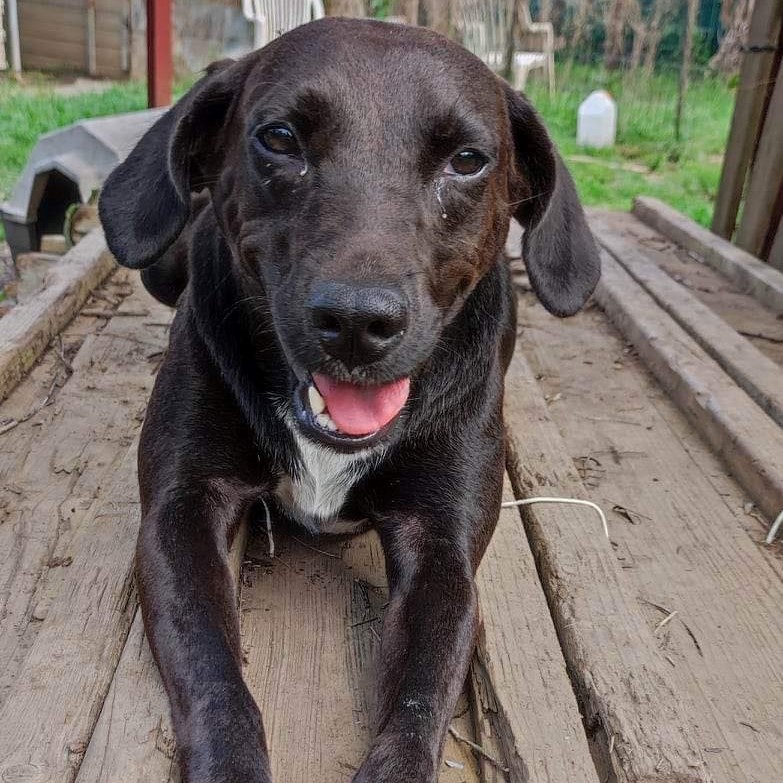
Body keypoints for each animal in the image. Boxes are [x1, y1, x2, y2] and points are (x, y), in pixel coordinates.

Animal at [99, 18, 600, 783]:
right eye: (279, 137)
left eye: (467, 159)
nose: (357, 323)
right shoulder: (180, 512)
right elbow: (214, 673)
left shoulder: (442, 552)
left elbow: (420, 698)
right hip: (159, 263)